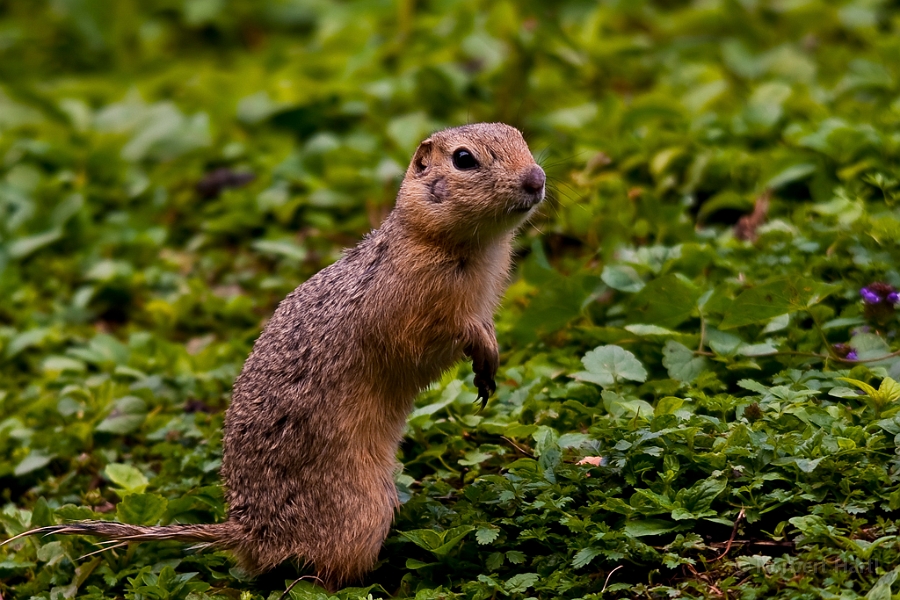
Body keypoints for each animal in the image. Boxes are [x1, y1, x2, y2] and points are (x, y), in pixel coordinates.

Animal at [3, 122, 544, 592]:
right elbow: (440, 334)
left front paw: (491, 358)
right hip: (362, 512)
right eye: (464, 159)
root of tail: (248, 531)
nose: (536, 178)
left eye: (520, 137)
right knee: (317, 578)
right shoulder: (412, 309)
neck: (464, 246)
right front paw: (481, 351)